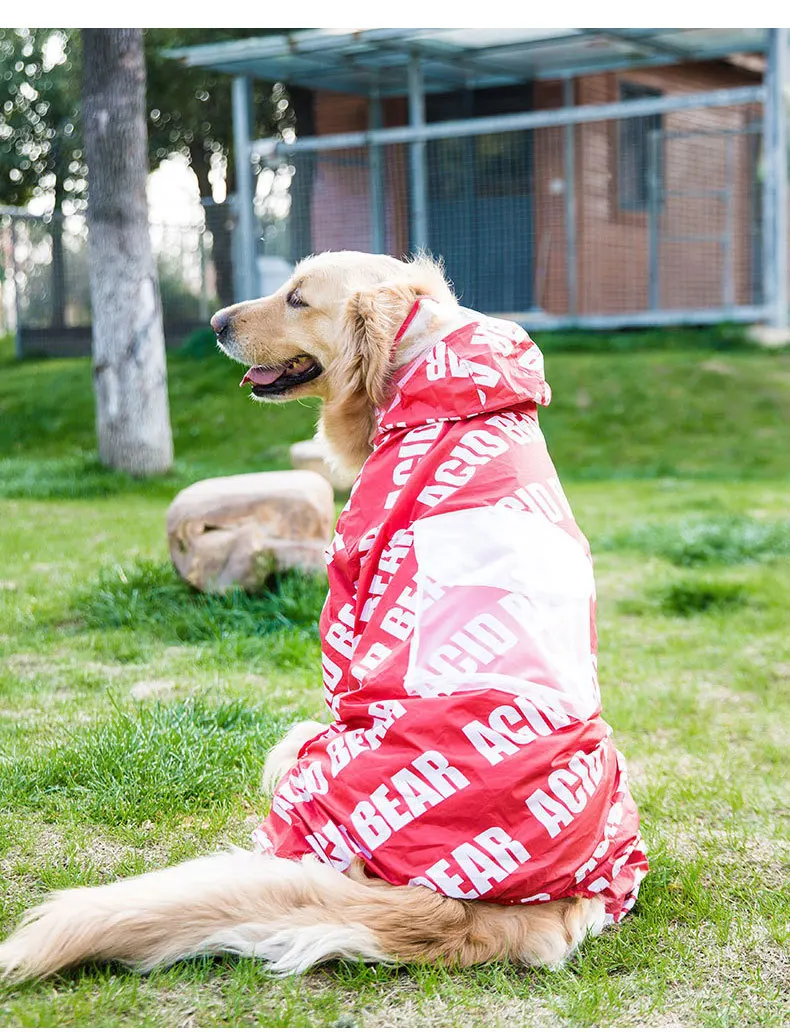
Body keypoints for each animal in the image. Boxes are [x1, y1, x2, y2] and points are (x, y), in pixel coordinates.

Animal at [0, 251, 651, 982]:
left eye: (297, 299)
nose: (216, 321)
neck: (426, 372)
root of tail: (459, 908)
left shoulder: (346, 585)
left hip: (308, 759)